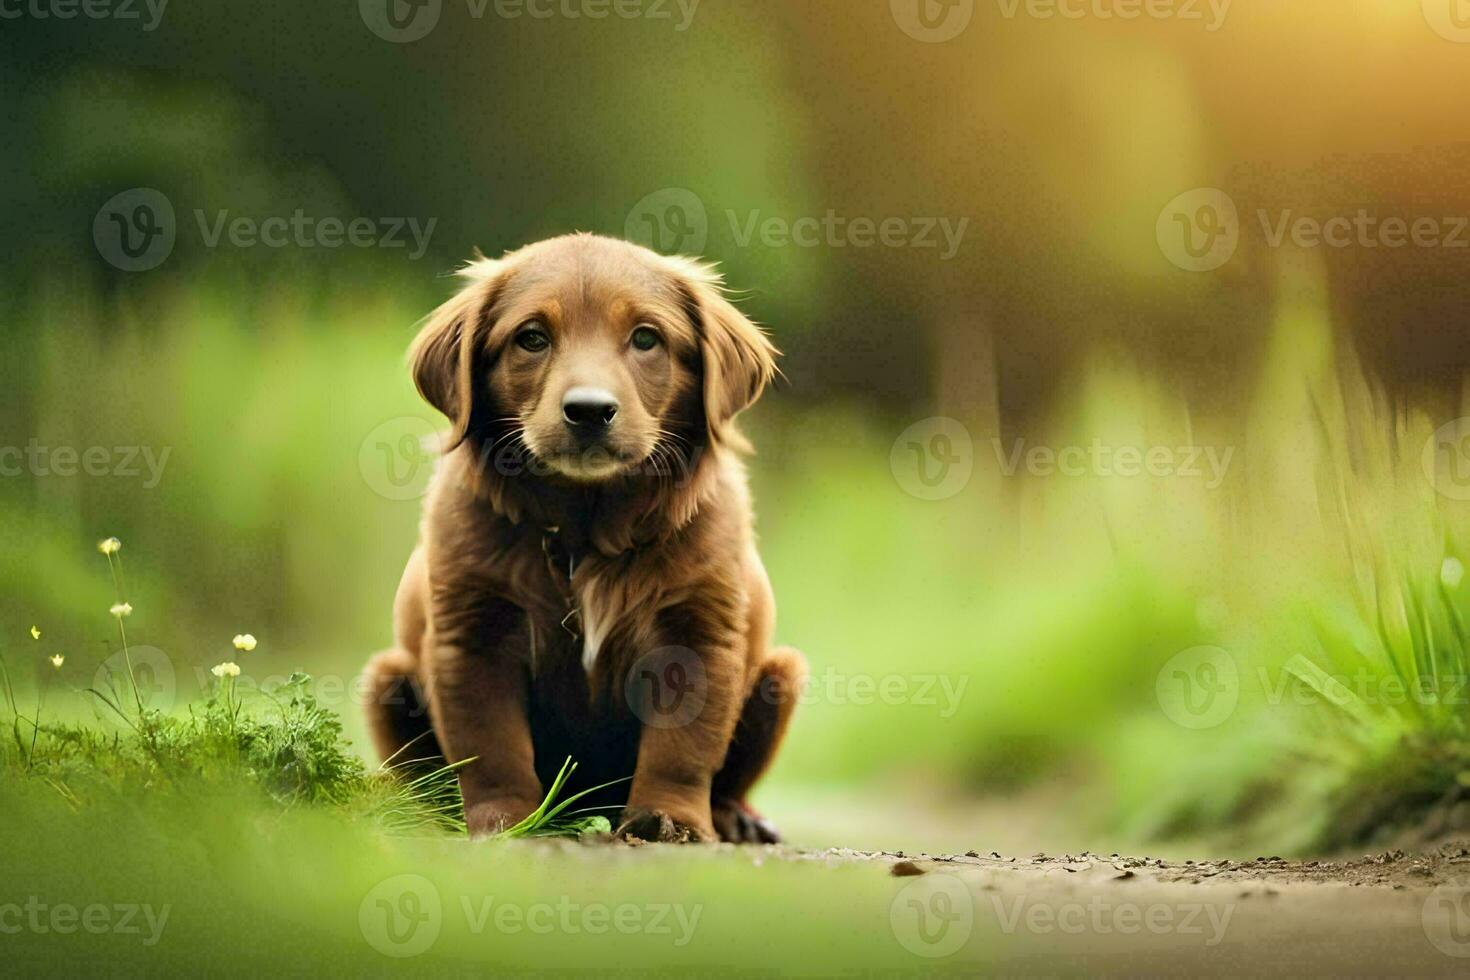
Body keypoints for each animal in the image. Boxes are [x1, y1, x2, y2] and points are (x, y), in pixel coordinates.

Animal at [363, 232, 811, 846]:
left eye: (646, 338)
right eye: (532, 338)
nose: (590, 411)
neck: (586, 533)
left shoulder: (697, 634)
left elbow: (682, 750)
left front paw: (670, 819)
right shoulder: (472, 635)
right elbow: (491, 747)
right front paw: (503, 821)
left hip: (779, 674)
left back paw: (735, 818)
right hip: (386, 678)